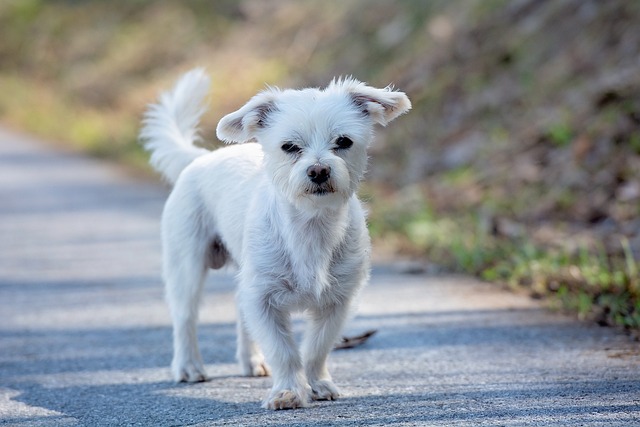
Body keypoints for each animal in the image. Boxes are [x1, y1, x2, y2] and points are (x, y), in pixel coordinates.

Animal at [139, 68, 410, 410]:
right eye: (289, 146)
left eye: (344, 141)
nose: (318, 170)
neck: (310, 226)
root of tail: (200, 159)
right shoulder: (263, 300)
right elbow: (284, 351)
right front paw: (289, 391)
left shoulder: (337, 302)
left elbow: (316, 347)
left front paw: (318, 383)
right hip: (186, 267)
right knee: (185, 318)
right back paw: (188, 367)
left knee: (239, 311)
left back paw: (251, 361)